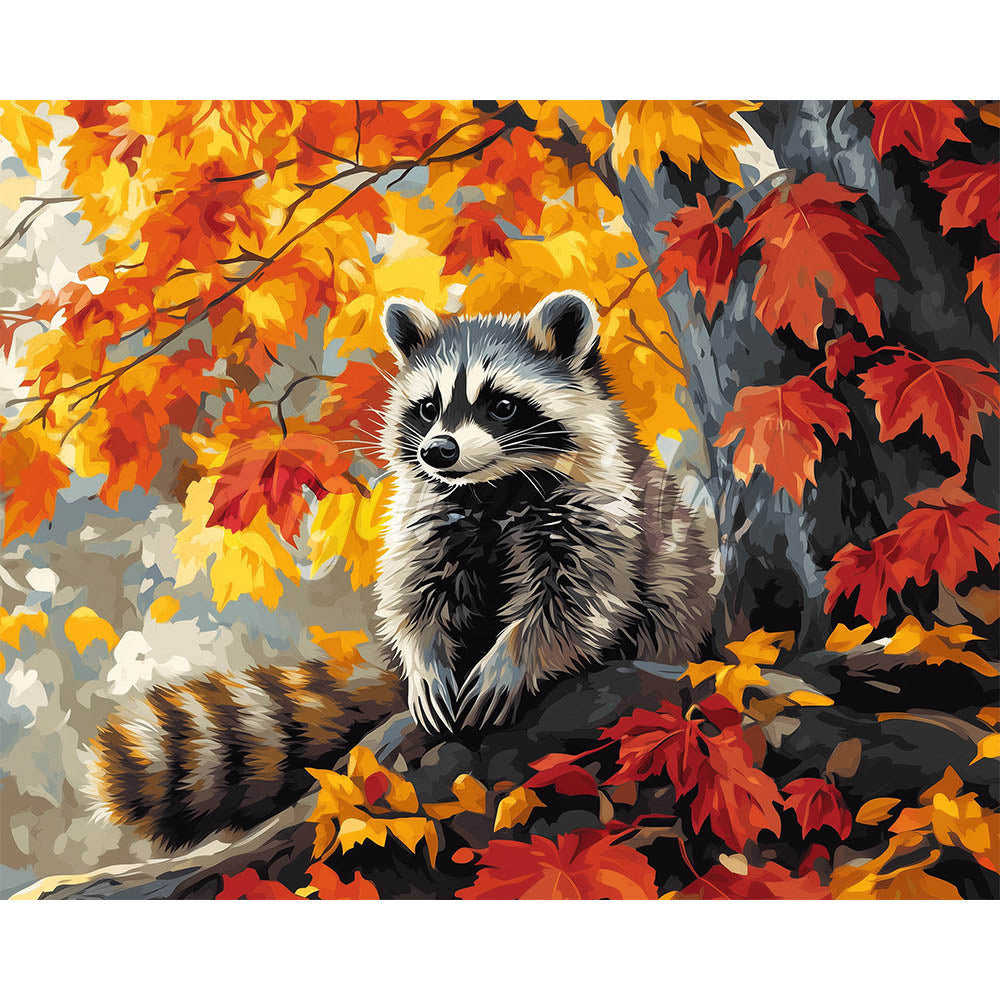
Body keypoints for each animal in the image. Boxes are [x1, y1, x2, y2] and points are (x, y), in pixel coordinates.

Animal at [87, 289, 713, 849]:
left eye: (501, 405)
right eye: (430, 406)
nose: (439, 450)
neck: (492, 487)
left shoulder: (599, 505)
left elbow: (576, 597)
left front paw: (515, 655)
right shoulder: (431, 513)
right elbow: (418, 595)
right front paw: (425, 658)